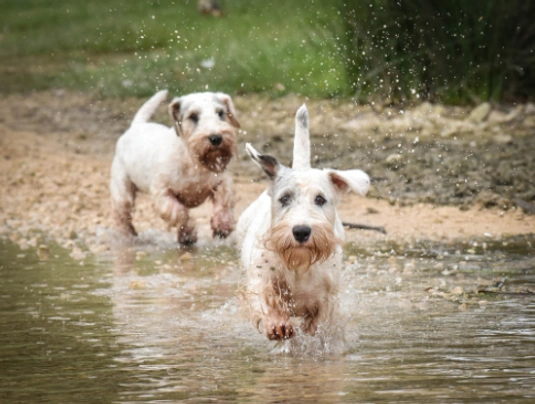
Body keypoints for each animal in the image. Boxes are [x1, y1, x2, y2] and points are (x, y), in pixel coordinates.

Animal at [111, 90, 241, 245]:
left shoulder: (221, 181)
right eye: (193, 116)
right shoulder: (162, 193)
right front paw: (188, 233)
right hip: (122, 191)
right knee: (122, 215)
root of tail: (136, 126)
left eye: (220, 113)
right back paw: (127, 236)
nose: (216, 138)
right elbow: (179, 212)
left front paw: (222, 225)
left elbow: (224, 200)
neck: (193, 162)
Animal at [237, 104, 370, 340]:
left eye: (320, 199)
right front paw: (277, 324)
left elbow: (319, 320)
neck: (298, 262)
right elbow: (266, 299)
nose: (300, 231)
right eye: (284, 198)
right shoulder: (261, 278)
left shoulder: (327, 295)